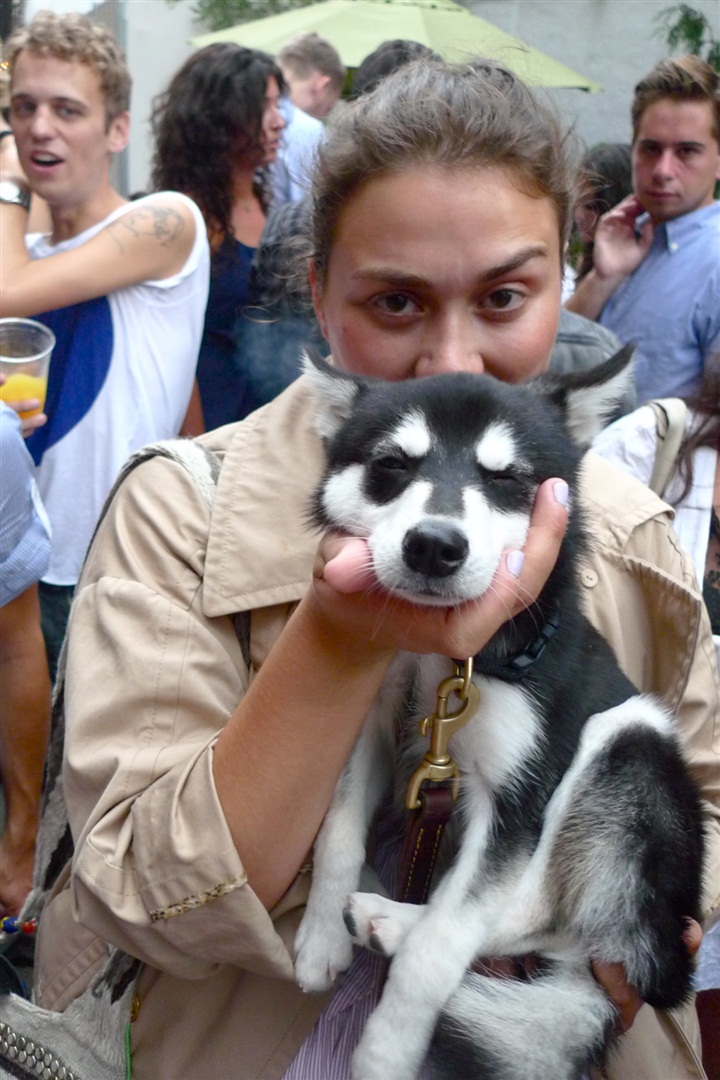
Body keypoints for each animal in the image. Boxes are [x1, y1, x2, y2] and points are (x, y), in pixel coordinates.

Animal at [295, 349, 708, 1075]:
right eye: (392, 465)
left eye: (506, 478)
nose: (434, 545)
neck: (444, 664)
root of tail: (658, 957)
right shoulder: (372, 729)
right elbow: (339, 830)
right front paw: (319, 935)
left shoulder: (517, 798)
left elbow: (442, 945)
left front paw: (386, 1051)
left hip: (631, 736)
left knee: (544, 916)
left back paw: (394, 920)